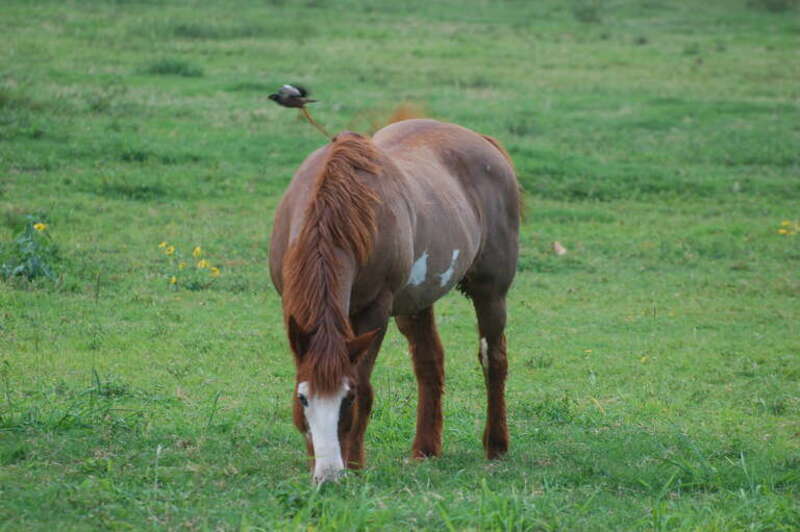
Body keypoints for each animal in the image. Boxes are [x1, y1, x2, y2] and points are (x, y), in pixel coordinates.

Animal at [269, 118, 520, 483]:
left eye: (346, 400)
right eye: (303, 399)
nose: (328, 474)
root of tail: (483, 142)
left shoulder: (374, 311)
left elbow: (365, 387)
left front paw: (354, 463)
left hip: (491, 292)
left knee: (494, 359)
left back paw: (496, 445)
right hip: (416, 302)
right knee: (429, 362)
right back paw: (425, 449)